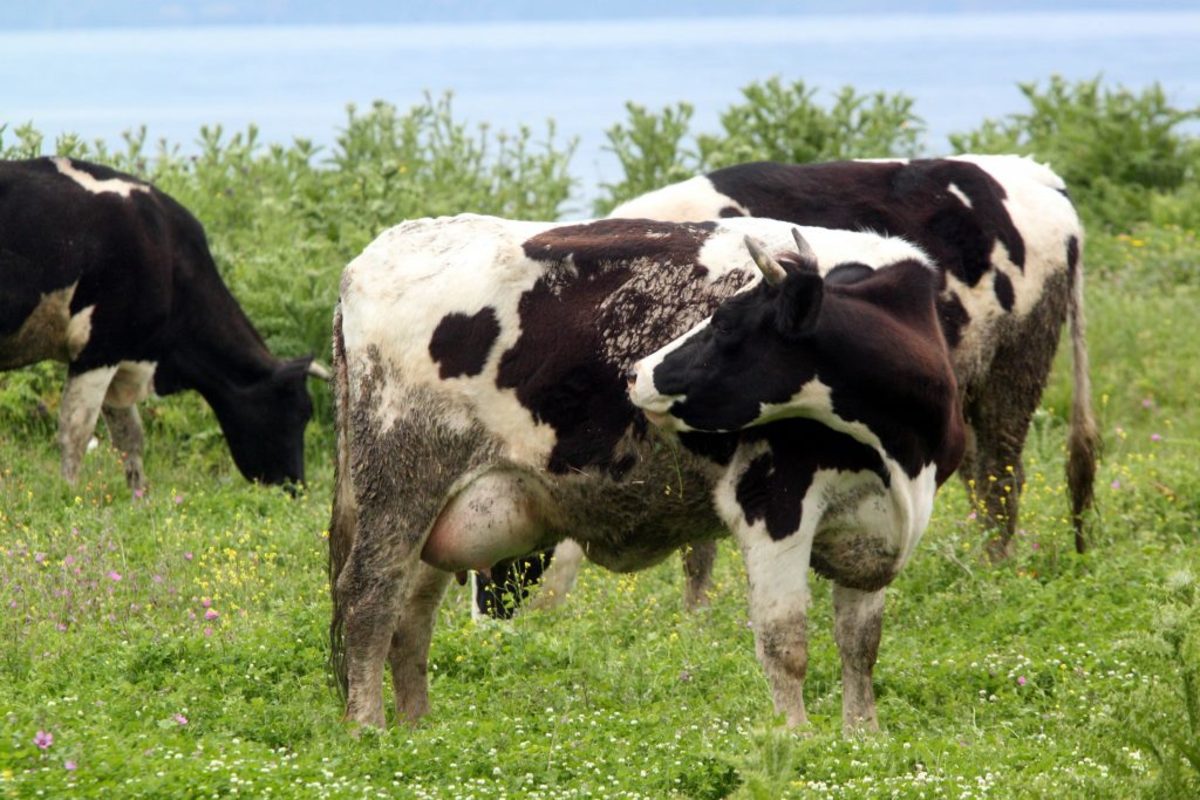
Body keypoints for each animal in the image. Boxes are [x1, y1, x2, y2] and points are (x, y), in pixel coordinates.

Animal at [0, 158, 326, 489]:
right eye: (301, 411)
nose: (296, 486)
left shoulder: (122, 352)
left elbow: (130, 437)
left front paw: (139, 495)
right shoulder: (99, 349)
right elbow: (76, 431)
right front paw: (68, 492)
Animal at [328, 212, 964, 734]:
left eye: (726, 325)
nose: (637, 374)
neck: (901, 459)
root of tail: (372, 257)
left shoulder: (874, 528)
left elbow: (861, 644)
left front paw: (863, 737)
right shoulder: (771, 501)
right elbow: (786, 641)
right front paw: (797, 740)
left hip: (442, 507)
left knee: (412, 614)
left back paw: (418, 726)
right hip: (400, 485)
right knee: (368, 598)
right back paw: (369, 729)